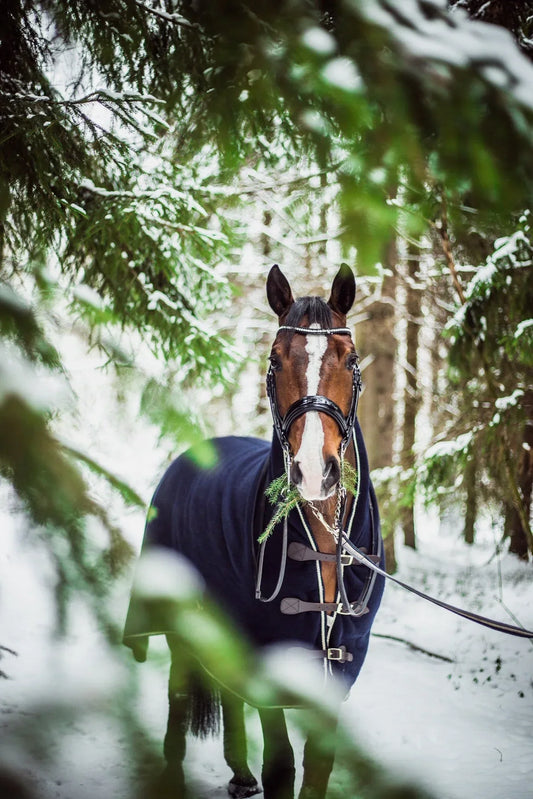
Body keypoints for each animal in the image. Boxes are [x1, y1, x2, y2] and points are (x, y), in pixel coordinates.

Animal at [124, 264, 385, 799]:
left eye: (350, 360)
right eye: (274, 359)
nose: (313, 471)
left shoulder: (333, 676)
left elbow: (318, 767)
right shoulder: (269, 660)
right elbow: (281, 766)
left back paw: (239, 774)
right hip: (181, 625)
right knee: (179, 696)